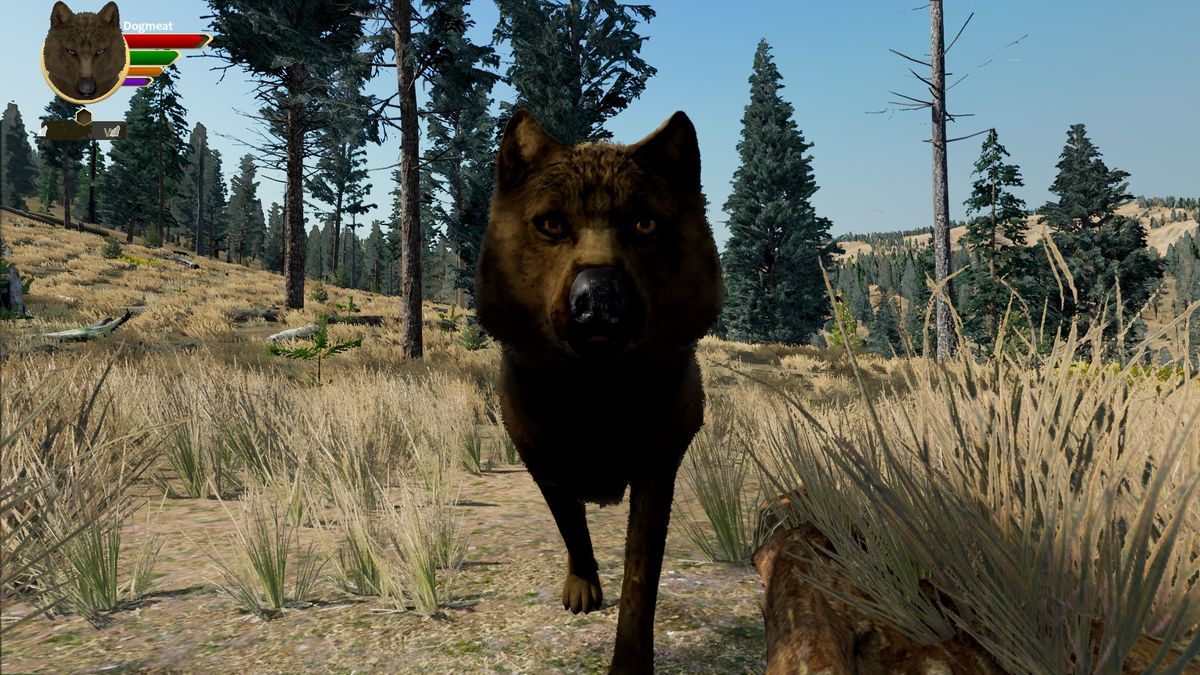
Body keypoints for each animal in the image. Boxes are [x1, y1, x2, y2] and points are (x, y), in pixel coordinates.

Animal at [475, 110, 722, 673]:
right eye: (551, 224)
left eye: (645, 224)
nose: (599, 299)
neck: (597, 388)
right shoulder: (543, 464)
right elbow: (571, 524)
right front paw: (583, 584)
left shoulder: (657, 470)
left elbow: (641, 578)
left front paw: (629, 662)